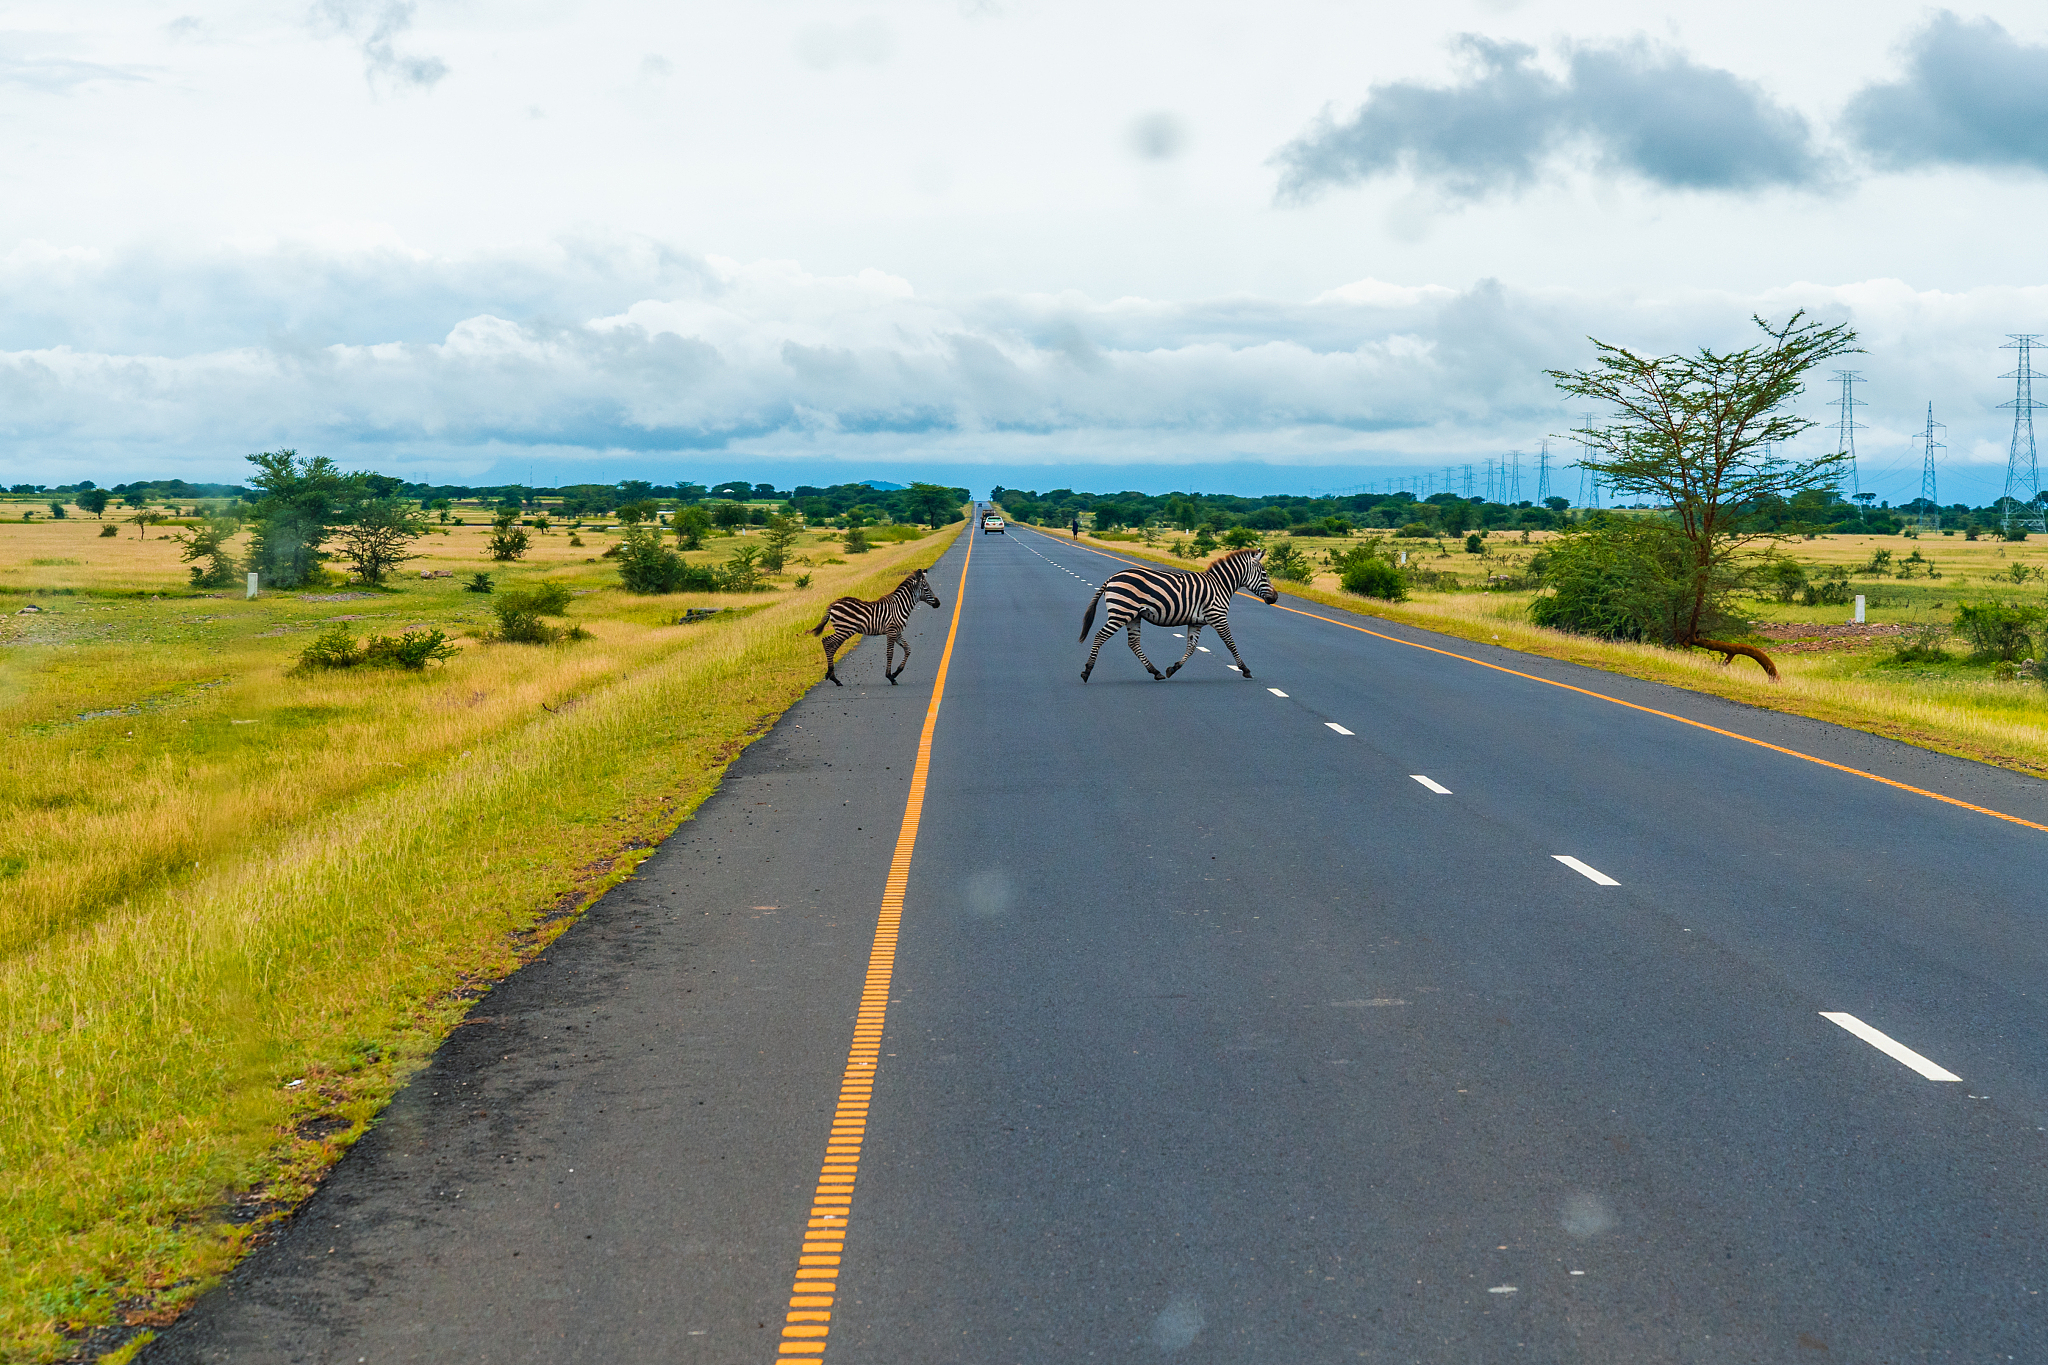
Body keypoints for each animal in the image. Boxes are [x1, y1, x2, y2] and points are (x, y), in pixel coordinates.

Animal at [808, 569, 944, 686]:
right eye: (926, 589)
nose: (938, 603)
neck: (900, 606)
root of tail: (833, 604)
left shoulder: (897, 632)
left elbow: (908, 649)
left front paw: (896, 672)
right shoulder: (891, 631)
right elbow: (890, 653)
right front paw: (890, 676)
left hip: (843, 630)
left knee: (831, 646)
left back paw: (833, 677)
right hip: (845, 630)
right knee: (826, 642)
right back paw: (832, 676)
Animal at [1078, 548, 1278, 682]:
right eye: (1264, 574)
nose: (1275, 597)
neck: (1220, 585)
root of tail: (1112, 577)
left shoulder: (1196, 622)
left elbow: (1191, 647)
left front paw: (1172, 669)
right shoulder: (1218, 617)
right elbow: (1230, 643)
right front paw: (1245, 669)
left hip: (1133, 616)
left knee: (1133, 643)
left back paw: (1156, 672)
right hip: (1122, 612)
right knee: (1100, 636)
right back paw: (1087, 671)